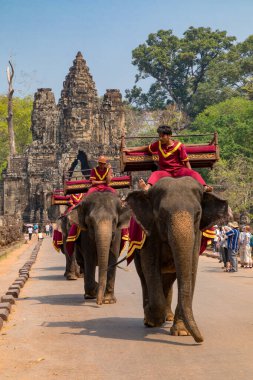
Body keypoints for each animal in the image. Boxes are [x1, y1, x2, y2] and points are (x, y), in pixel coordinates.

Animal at [126, 177, 229, 342]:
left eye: (198, 214)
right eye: (161, 214)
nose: (200, 339)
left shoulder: (196, 234)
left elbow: (191, 268)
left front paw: (181, 332)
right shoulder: (150, 232)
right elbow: (150, 266)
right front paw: (153, 320)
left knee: (168, 280)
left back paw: (167, 316)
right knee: (144, 277)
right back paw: (150, 317)